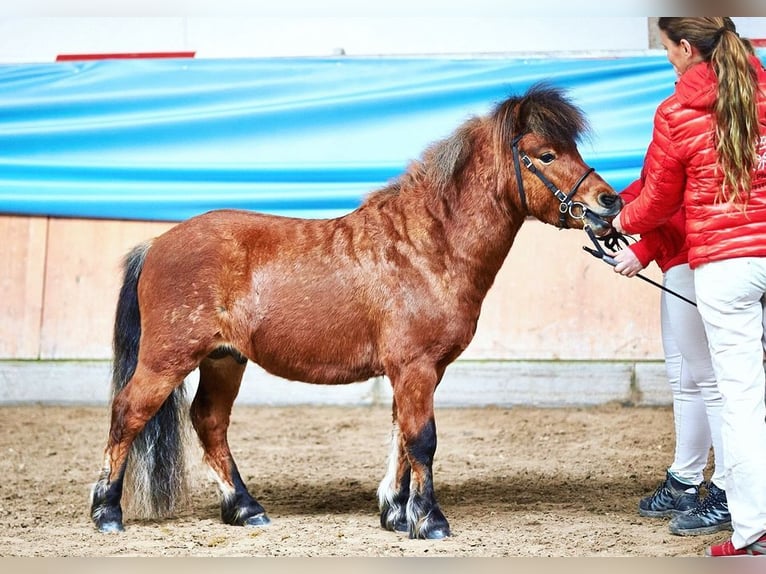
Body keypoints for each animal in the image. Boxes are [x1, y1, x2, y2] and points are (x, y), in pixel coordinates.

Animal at [90, 83, 624, 544]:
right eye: (547, 154)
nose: (610, 201)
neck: (427, 247)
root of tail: (157, 243)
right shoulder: (415, 367)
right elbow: (422, 439)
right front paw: (429, 521)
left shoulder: (418, 371)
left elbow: (402, 438)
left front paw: (396, 513)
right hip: (168, 358)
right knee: (127, 414)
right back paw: (107, 512)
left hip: (224, 359)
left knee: (209, 422)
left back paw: (246, 508)